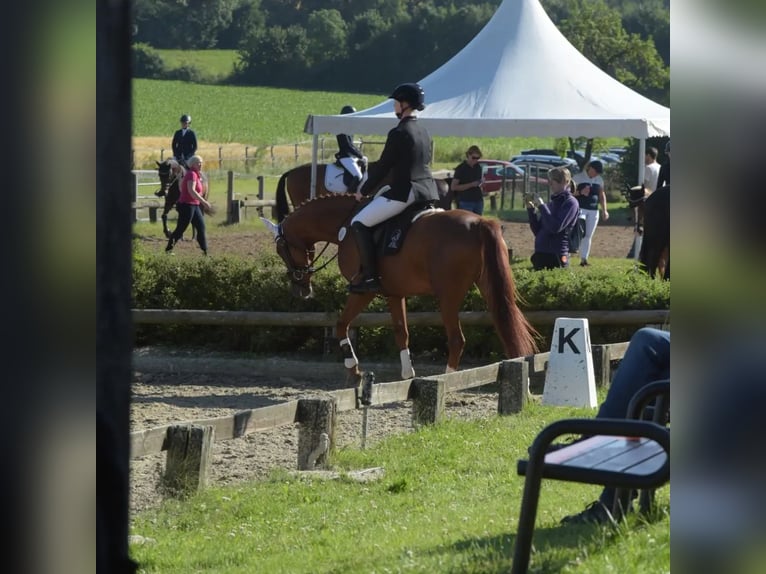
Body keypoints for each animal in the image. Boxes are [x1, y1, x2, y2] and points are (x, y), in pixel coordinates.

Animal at [264, 195, 540, 388]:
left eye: (280, 249)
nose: (300, 290)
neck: (345, 225)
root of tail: (479, 222)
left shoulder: (363, 290)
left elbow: (341, 324)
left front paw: (354, 370)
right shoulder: (394, 293)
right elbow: (401, 332)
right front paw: (407, 374)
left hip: (448, 296)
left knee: (457, 339)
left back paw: (447, 382)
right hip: (489, 287)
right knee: (507, 326)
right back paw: (521, 379)